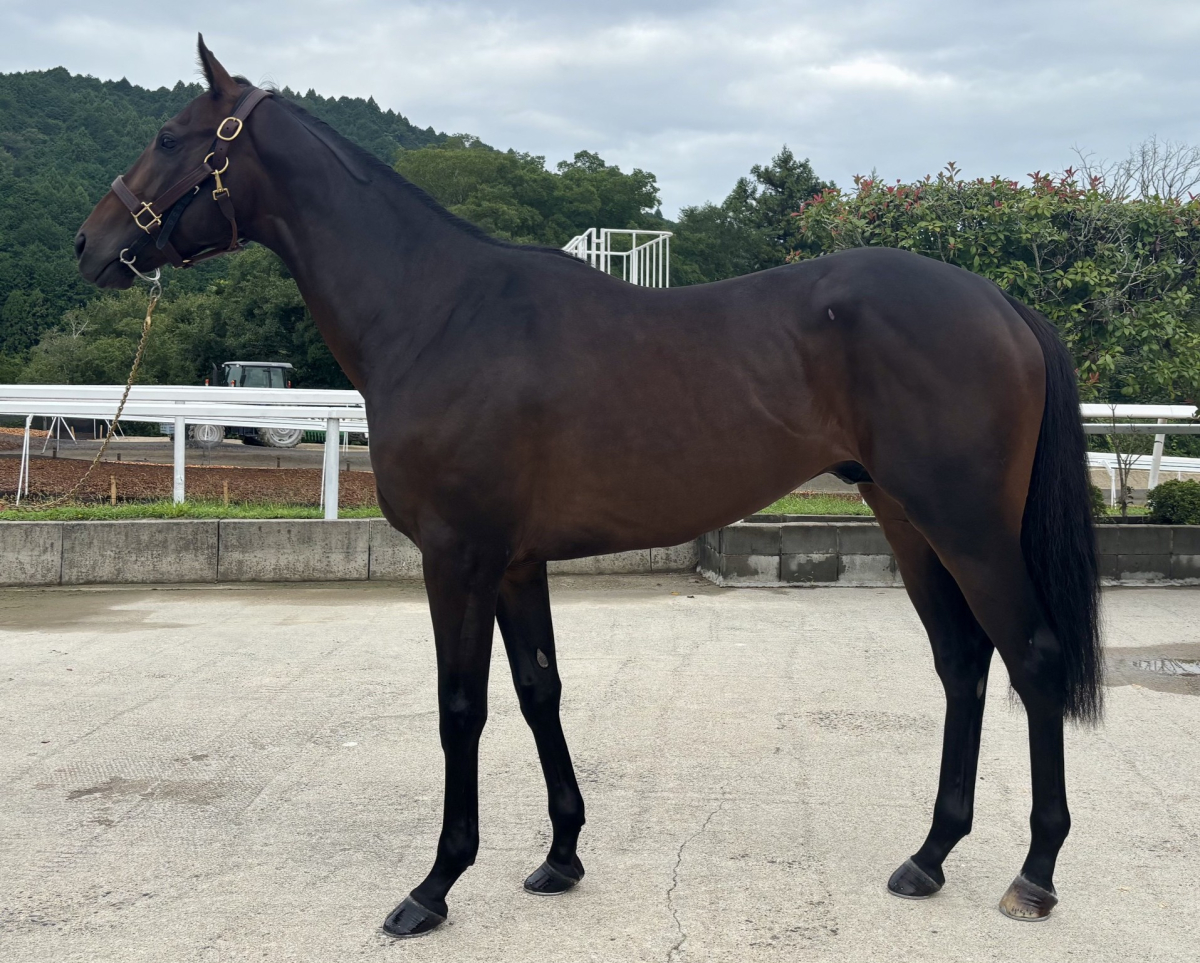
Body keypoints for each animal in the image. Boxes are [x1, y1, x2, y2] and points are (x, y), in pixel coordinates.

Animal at [76, 37, 1102, 937]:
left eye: (169, 135)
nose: (90, 244)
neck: (438, 311)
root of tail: (1000, 302)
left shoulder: (458, 557)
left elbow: (461, 708)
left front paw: (435, 885)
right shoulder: (515, 561)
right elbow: (541, 690)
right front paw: (561, 854)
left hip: (967, 527)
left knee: (1032, 656)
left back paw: (1035, 873)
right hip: (906, 520)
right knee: (962, 663)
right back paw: (928, 856)